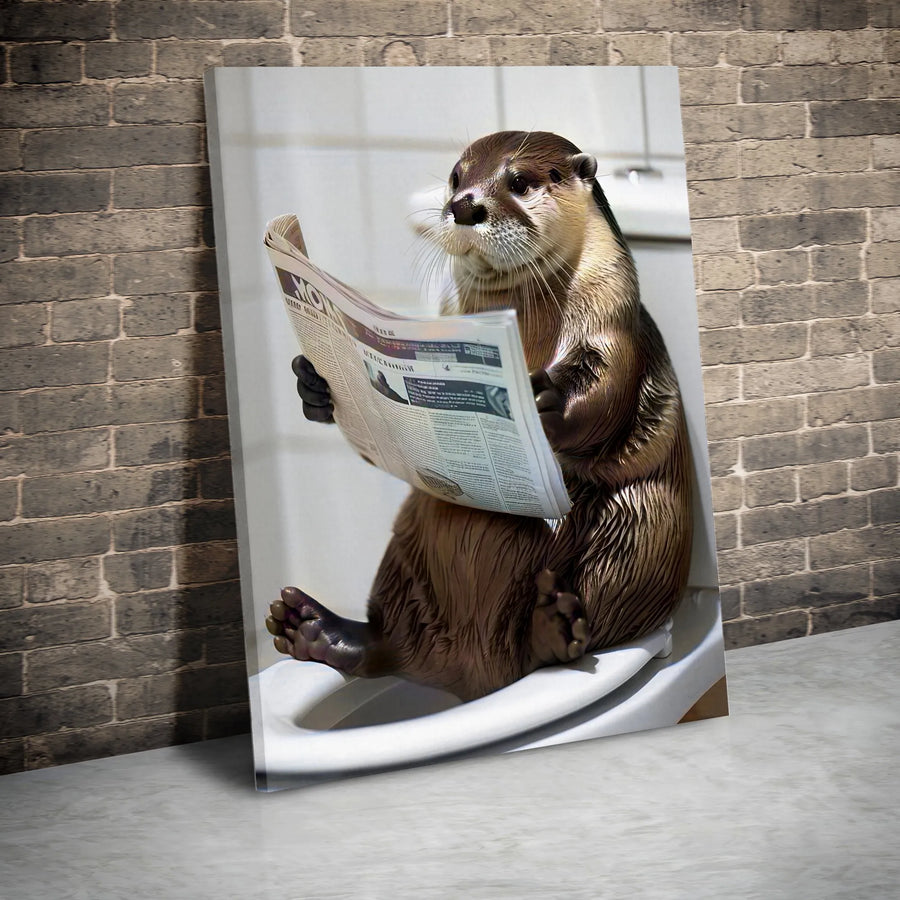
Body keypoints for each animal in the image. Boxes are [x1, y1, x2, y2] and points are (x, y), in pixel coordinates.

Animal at [267, 131, 693, 702]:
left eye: (519, 181)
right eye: (455, 176)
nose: (465, 204)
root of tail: (469, 672)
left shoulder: (612, 319)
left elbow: (605, 390)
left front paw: (540, 397)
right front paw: (312, 383)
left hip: (638, 534)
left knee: (591, 612)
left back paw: (551, 629)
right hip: (407, 543)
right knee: (392, 636)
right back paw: (317, 631)